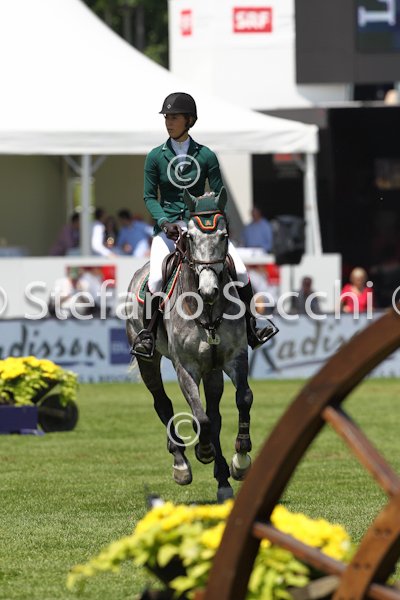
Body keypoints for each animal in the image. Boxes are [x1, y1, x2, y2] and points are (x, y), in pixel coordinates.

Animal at [126, 188, 253, 502]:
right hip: (149, 360)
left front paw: (241, 460)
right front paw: (203, 451)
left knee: (215, 415)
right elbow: (200, 418)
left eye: (224, 235)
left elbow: (242, 399)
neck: (206, 309)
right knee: (163, 403)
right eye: (192, 237)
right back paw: (181, 464)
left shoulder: (235, 357)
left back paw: (223, 480)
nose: (209, 290)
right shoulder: (186, 367)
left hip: (213, 370)